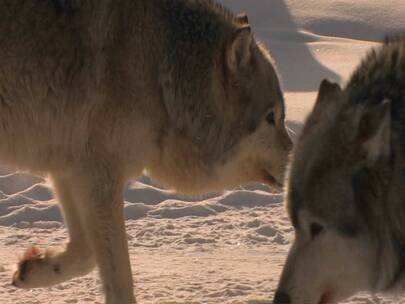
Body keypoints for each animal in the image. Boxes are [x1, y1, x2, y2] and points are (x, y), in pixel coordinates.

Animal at [0, 0, 290, 304]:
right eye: (271, 118)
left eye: (282, 117)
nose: (295, 159)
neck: (161, 75)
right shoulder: (98, 179)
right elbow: (119, 280)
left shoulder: (71, 171)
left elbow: (86, 254)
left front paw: (31, 269)